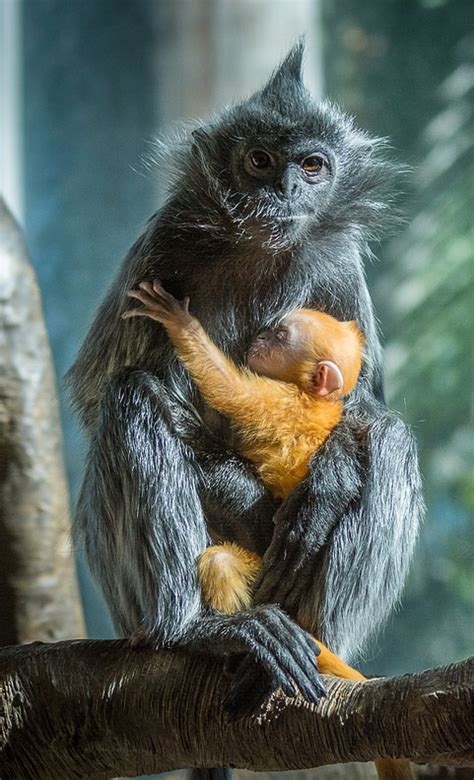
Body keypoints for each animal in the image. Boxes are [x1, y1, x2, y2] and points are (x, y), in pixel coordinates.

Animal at [69, 39, 422, 716]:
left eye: (312, 166)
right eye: (259, 161)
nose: (283, 191)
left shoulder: (337, 263)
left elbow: (365, 401)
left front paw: (329, 482)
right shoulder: (161, 246)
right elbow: (97, 395)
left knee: (391, 437)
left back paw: (309, 643)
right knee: (132, 396)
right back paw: (195, 630)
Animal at [123, 282, 414, 780]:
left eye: (279, 337)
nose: (258, 339)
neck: (314, 398)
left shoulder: (282, 401)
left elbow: (230, 392)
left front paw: (178, 322)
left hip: (271, 575)